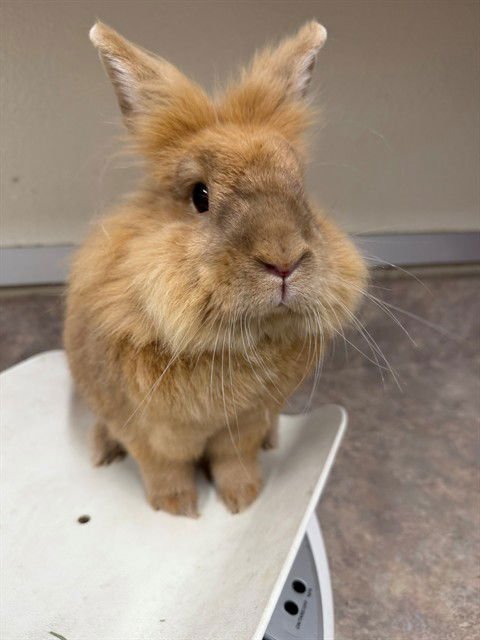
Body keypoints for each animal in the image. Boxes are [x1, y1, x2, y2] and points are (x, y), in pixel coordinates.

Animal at [64, 20, 367, 517]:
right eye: (199, 195)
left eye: (300, 187)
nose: (283, 260)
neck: (232, 343)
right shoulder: (142, 429)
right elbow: (163, 468)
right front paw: (179, 508)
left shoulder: (245, 424)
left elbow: (233, 461)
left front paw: (243, 499)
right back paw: (103, 453)